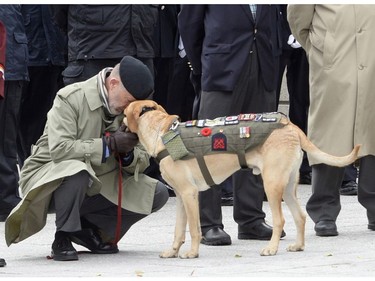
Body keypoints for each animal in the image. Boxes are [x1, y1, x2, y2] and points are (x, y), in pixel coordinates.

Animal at [124, 99, 362, 258]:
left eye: (124, 113)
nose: (118, 120)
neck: (161, 133)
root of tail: (290, 125)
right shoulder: (182, 197)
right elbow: (178, 230)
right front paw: (173, 251)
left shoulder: (190, 194)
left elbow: (193, 229)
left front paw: (192, 252)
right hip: (287, 187)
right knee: (301, 216)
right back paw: (298, 246)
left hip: (272, 184)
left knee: (280, 220)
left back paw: (271, 248)